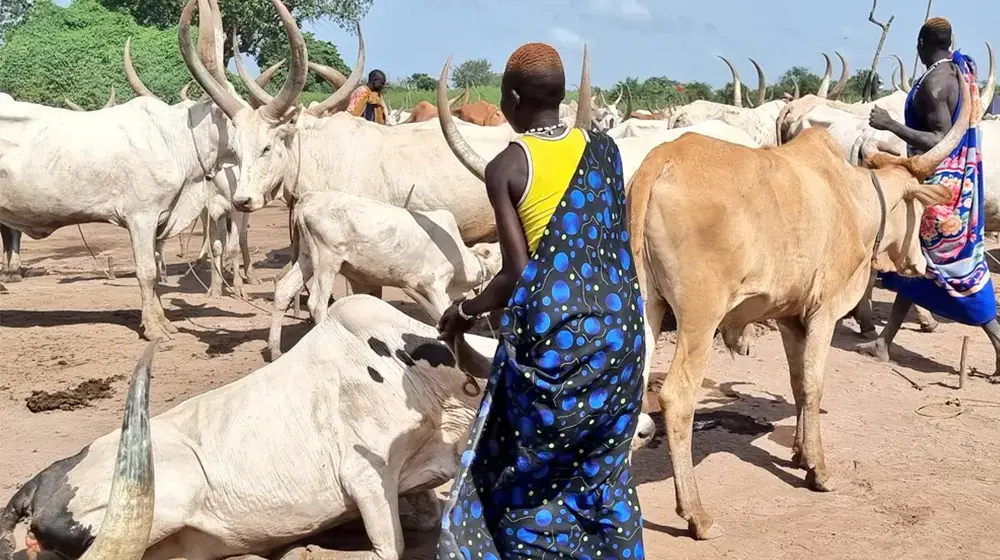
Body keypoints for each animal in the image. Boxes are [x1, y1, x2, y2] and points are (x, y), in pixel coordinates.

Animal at [270, 191, 504, 358]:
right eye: (500, 252)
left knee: (284, 289)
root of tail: (308, 198)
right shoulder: (434, 284)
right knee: (317, 304)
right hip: (326, 259)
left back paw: (275, 351)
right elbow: (442, 316)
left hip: (307, 257)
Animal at [624, 73, 968, 540]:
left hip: (648, 304)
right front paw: (818, 470)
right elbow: (814, 384)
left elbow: (796, 381)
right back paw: (696, 514)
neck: (851, 198)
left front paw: (801, 453)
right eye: (917, 207)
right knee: (677, 397)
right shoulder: (824, 310)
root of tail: (660, 161)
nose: (919, 263)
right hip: (699, 316)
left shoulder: (789, 316)